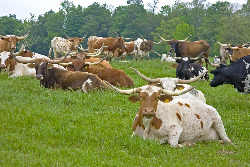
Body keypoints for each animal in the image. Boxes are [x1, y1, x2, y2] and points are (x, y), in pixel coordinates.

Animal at [104, 81, 232, 147]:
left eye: (157, 97)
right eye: (141, 96)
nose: (149, 111)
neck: (147, 127)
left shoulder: (176, 129)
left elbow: (173, 144)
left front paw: (188, 143)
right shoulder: (133, 136)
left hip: (218, 121)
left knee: (227, 140)